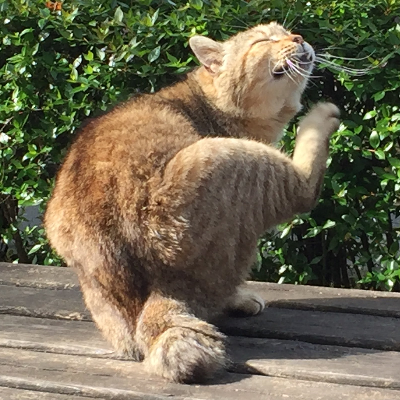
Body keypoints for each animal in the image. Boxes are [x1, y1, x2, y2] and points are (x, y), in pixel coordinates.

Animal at [43, 22, 340, 384]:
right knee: (305, 189)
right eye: (262, 40)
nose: (298, 38)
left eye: (284, 32)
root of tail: (153, 290)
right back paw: (321, 117)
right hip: (231, 154)